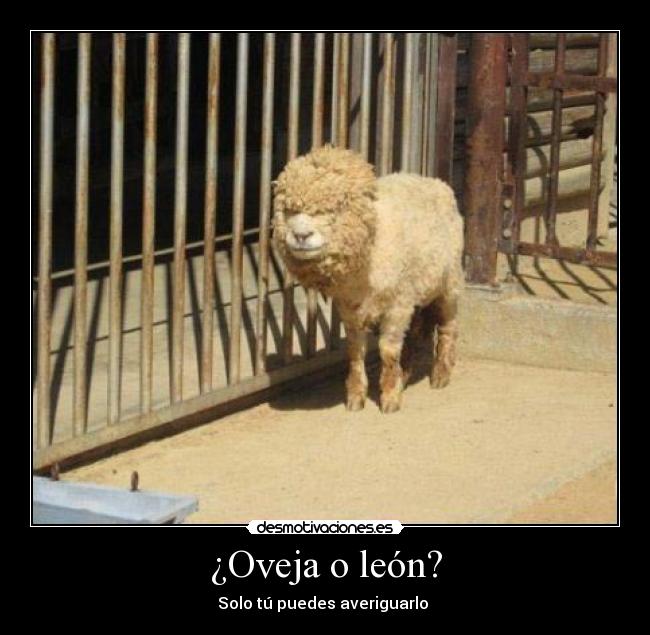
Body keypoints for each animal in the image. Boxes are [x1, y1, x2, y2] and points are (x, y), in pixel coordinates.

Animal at [272, 145, 464, 413]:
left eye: (333, 209)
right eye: (289, 211)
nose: (301, 235)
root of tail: (435, 181)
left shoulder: (397, 305)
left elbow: (388, 351)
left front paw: (390, 397)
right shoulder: (350, 308)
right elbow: (355, 352)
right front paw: (356, 396)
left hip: (449, 282)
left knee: (448, 326)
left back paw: (440, 374)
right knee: (415, 331)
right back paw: (406, 372)